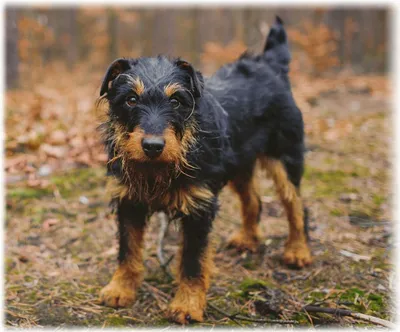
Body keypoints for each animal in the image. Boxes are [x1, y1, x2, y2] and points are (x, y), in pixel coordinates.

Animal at [98, 16, 310, 322]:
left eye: (176, 101)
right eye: (131, 99)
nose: (152, 146)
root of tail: (270, 65)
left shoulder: (198, 208)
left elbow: (192, 261)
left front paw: (187, 304)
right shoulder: (129, 201)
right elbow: (128, 250)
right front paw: (121, 289)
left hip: (286, 159)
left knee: (296, 206)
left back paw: (297, 250)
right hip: (239, 164)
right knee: (253, 201)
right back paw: (248, 239)